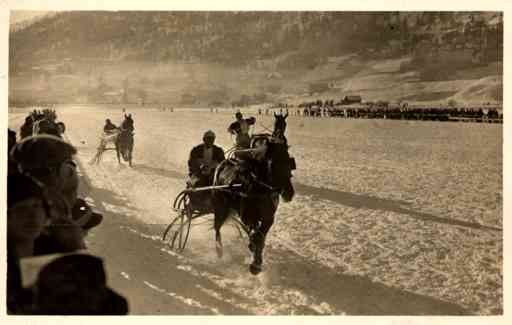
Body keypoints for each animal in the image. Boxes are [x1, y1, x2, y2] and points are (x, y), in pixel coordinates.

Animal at [212, 115, 296, 274]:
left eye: (290, 162)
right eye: (272, 163)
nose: (288, 193)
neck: (259, 189)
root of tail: (223, 164)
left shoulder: (268, 217)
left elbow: (261, 235)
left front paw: (256, 258)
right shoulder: (247, 216)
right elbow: (256, 235)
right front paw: (255, 263)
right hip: (220, 206)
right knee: (217, 226)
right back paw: (219, 249)